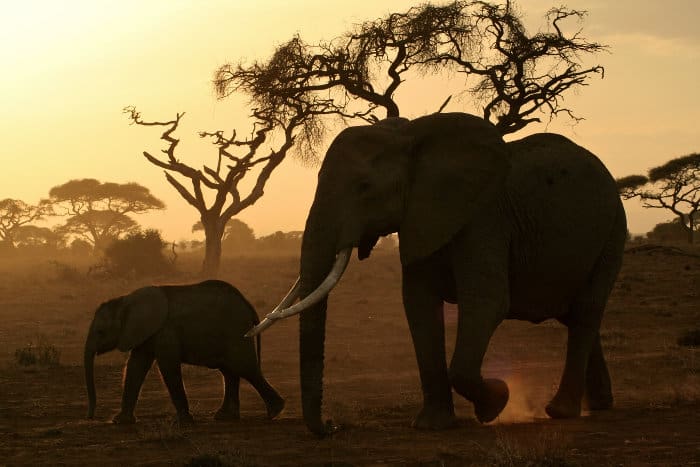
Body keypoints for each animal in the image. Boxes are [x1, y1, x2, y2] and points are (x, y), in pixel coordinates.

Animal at [84, 280, 284, 426]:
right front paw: (120, 421)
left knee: (244, 367)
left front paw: (183, 421)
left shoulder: (165, 331)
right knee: (229, 370)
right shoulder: (144, 332)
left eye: (100, 332)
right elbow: (135, 366)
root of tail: (249, 305)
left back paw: (275, 411)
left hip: (236, 330)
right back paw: (225, 417)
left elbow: (168, 366)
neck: (125, 300)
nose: (91, 416)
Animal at [249, 111, 628, 436]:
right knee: (576, 316)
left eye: (364, 186)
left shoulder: (484, 218)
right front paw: (432, 426)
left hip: (613, 230)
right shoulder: (420, 218)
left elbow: (487, 301)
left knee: (586, 312)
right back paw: (599, 404)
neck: (410, 138)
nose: (332, 426)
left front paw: (497, 402)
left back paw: (561, 411)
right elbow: (418, 305)